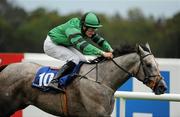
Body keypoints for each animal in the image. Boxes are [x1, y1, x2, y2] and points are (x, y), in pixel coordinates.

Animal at [0, 43, 167, 116]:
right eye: (148, 64)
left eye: (157, 64)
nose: (162, 87)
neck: (102, 81)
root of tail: (6, 67)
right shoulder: (95, 114)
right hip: (6, 106)